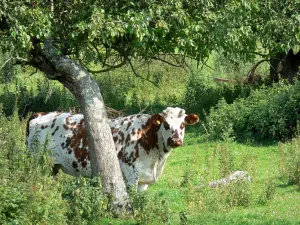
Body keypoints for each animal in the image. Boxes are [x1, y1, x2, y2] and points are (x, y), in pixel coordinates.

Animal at [26, 106, 199, 191]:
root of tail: (40, 113)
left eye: (182, 125)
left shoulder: (144, 181)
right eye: (166, 124)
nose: (175, 140)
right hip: (37, 163)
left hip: (52, 167)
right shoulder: (131, 175)